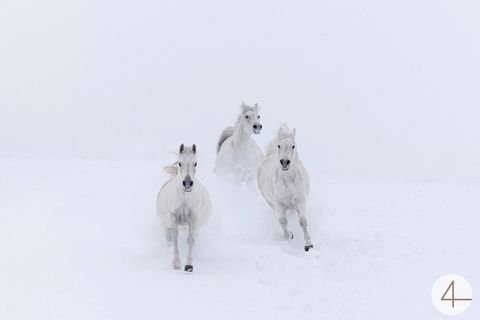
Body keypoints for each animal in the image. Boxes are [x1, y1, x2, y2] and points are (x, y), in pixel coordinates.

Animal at [157, 144, 211, 272]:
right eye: (180, 163)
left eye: (195, 163)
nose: (187, 183)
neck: (185, 198)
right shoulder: (173, 217)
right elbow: (175, 237)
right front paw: (176, 263)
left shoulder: (193, 218)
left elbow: (190, 240)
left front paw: (189, 265)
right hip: (166, 225)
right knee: (169, 241)